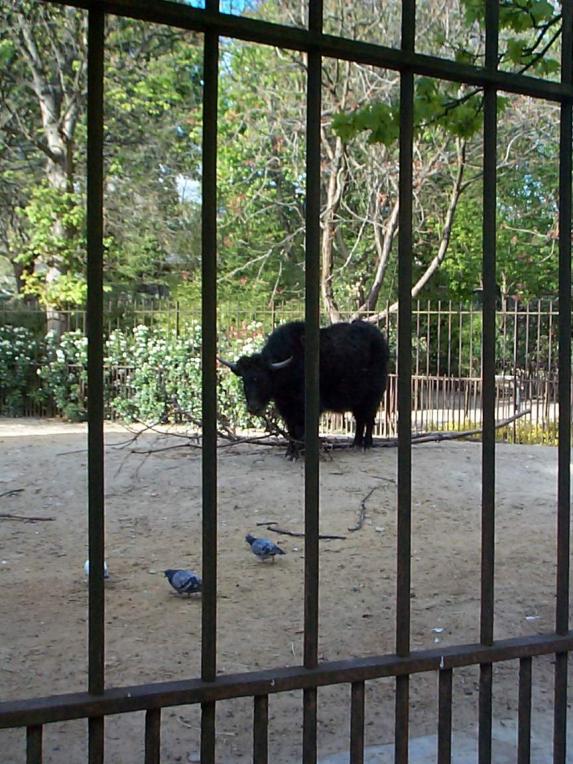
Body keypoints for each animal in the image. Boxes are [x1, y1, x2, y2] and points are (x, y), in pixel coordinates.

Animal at [219, 320, 389, 456]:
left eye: (264, 380)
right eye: (245, 380)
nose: (253, 408)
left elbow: (302, 429)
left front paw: (302, 451)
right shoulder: (285, 408)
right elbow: (291, 429)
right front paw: (291, 452)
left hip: (374, 396)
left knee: (369, 418)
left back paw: (367, 444)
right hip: (358, 400)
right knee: (360, 419)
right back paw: (356, 444)